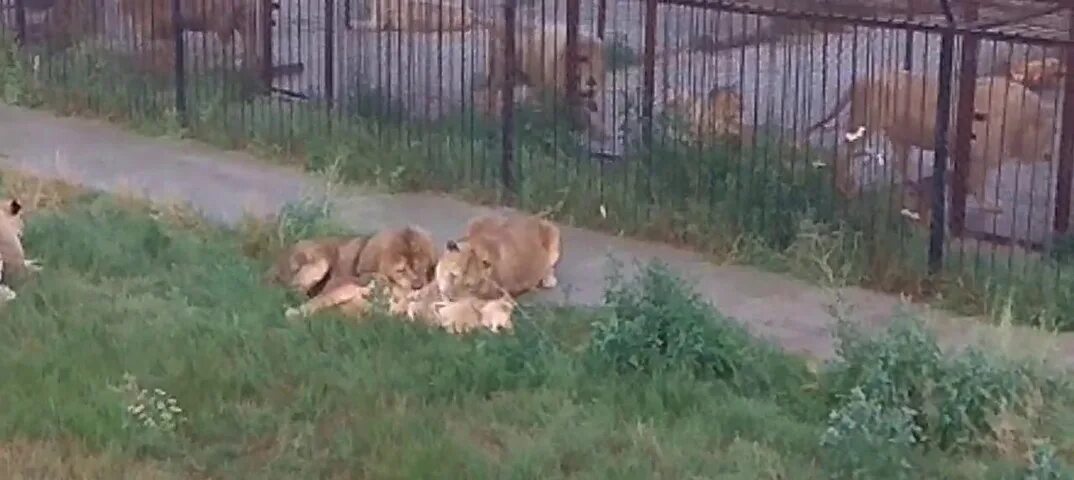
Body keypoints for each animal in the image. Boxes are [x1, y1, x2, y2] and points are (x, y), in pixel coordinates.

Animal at [807, 68, 1052, 214]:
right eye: (1050, 134)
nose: (1049, 156)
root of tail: (863, 78)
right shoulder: (979, 156)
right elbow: (977, 186)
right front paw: (988, 206)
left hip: (899, 135)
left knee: (899, 163)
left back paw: (912, 188)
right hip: (867, 124)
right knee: (845, 151)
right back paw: (847, 187)